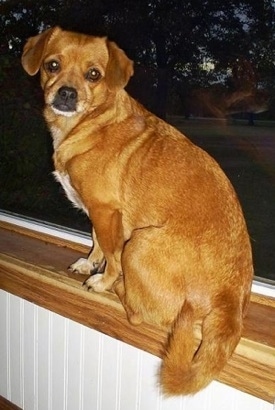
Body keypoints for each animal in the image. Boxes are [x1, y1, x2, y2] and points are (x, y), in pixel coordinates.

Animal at [22, 26, 254, 398]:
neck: (90, 122)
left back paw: (119, 289)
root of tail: (231, 302)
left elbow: (111, 255)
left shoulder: (106, 212)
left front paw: (102, 281)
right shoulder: (97, 213)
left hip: (141, 245)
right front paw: (88, 263)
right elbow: (96, 243)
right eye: (52, 65)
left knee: (140, 315)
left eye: (94, 74)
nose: (66, 94)